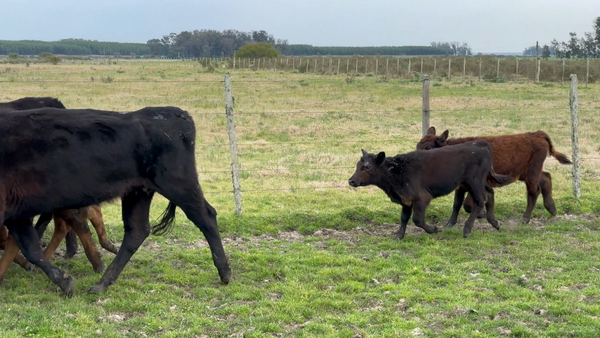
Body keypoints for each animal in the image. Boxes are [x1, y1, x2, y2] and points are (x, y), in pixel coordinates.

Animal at [0, 107, 231, 294]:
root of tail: (175, 113)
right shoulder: (17, 214)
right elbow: (31, 248)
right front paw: (65, 282)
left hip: (179, 185)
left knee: (206, 217)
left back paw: (225, 272)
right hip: (138, 191)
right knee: (136, 231)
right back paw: (103, 283)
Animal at [346, 141, 510, 239]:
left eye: (367, 166)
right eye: (357, 165)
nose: (351, 181)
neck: (398, 170)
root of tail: (480, 144)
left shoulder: (421, 198)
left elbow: (418, 220)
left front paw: (434, 229)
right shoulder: (406, 200)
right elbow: (404, 218)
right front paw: (399, 236)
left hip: (474, 182)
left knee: (480, 201)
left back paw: (467, 229)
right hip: (475, 183)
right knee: (490, 194)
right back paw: (494, 222)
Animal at [418, 125, 572, 223]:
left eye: (428, 147)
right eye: (418, 146)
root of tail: (537, 134)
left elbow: (467, 205)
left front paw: (482, 214)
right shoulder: (461, 187)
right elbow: (457, 204)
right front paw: (449, 224)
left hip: (532, 174)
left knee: (534, 192)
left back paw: (525, 219)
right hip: (527, 174)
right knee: (546, 178)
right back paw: (552, 209)